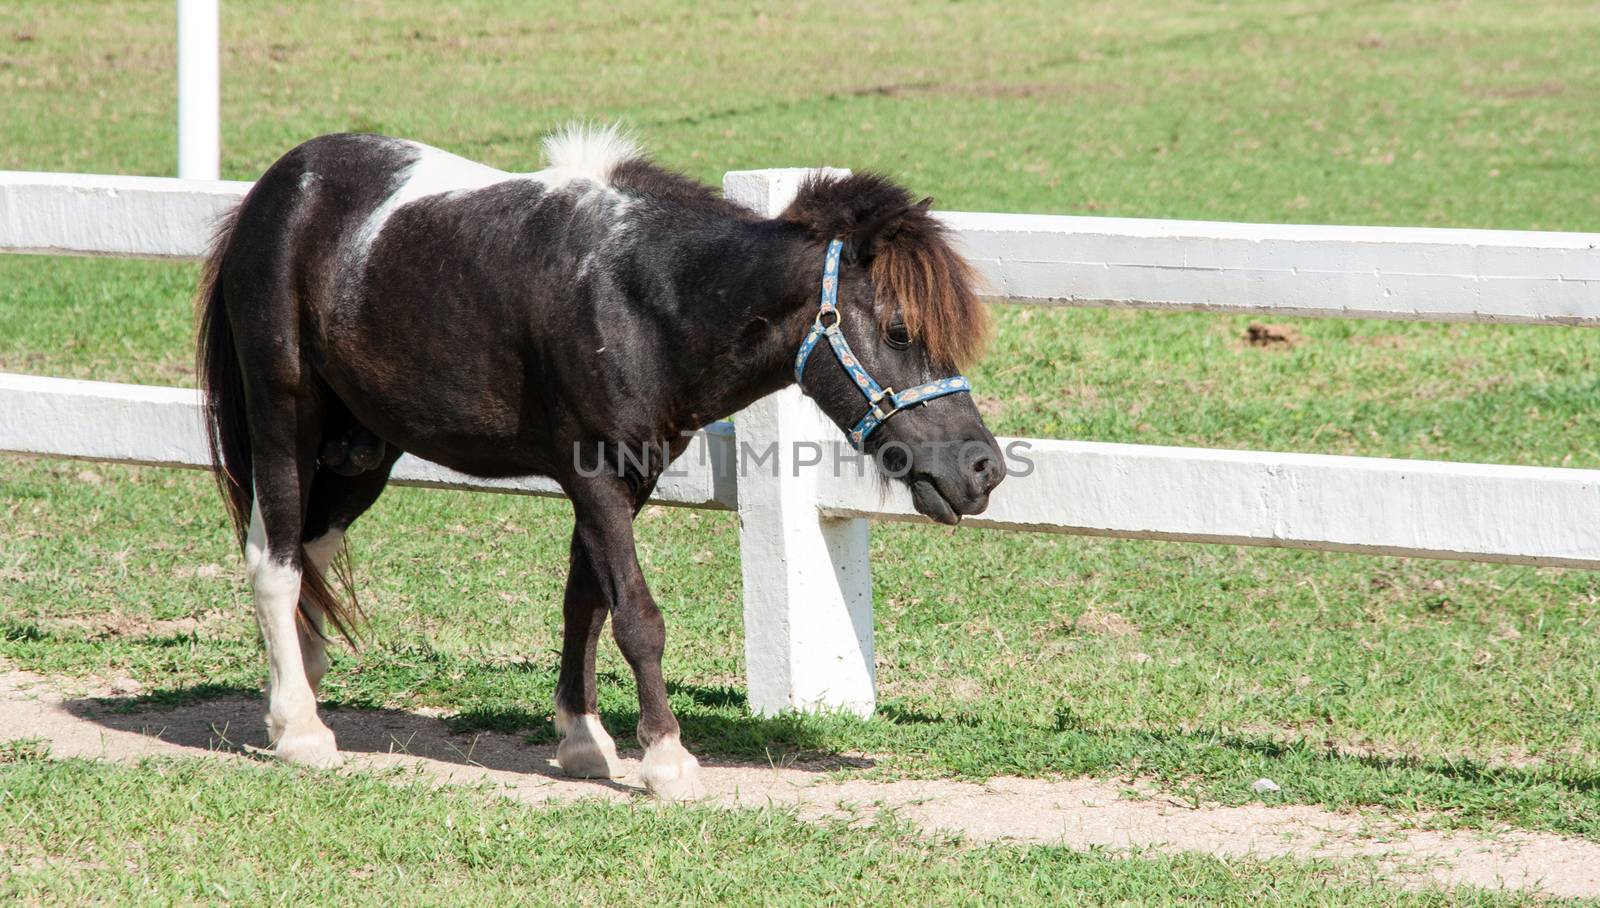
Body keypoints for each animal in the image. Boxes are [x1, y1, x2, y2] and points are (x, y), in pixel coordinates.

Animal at [196, 123, 998, 799]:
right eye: (899, 330)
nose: (984, 468)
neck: (640, 297)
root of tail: (276, 190)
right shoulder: (596, 479)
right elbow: (637, 617)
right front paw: (667, 761)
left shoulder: (625, 483)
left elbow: (584, 601)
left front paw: (583, 742)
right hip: (285, 424)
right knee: (275, 561)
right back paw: (300, 730)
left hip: (362, 452)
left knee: (311, 550)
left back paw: (296, 688)